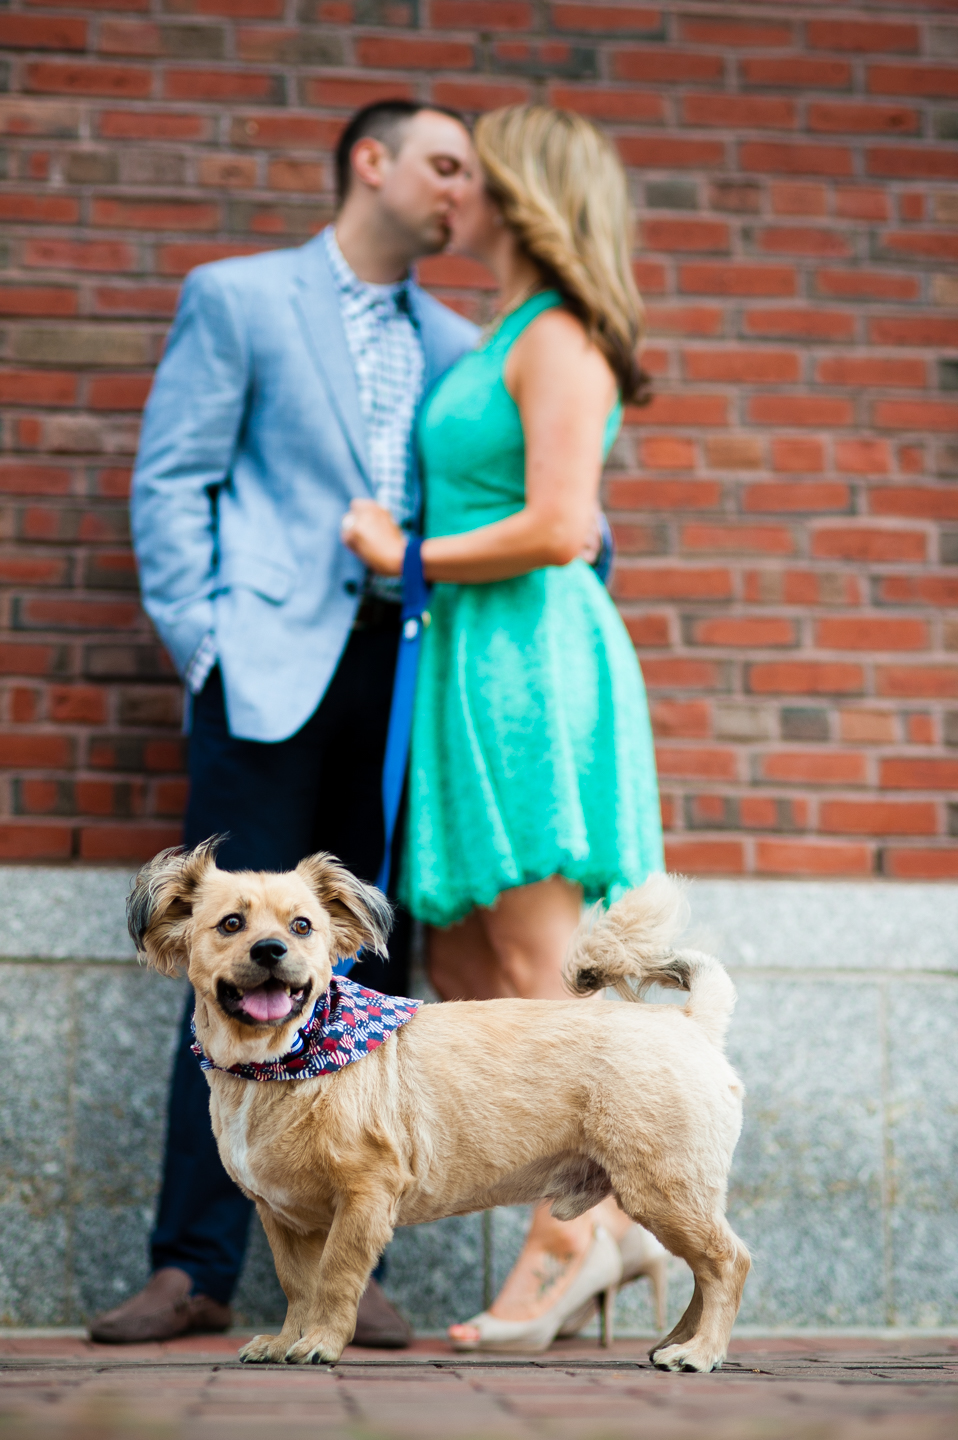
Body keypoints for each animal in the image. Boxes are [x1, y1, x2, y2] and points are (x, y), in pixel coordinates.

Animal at [131, 840, 749, 1370]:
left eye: (302, 926)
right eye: (231, 924)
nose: (271, 949)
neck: (281, 1062)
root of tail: (692, 1021)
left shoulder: (364, 1197)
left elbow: (334, 1281)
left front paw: (321, 1344)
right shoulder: (282, 1217)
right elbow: (298, 1287)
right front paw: (286, 1342)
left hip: (664, 1189)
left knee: (727, 1264)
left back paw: (701, 1352)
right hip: (675, 1198)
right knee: (704, 1273)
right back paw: (679, 1342)